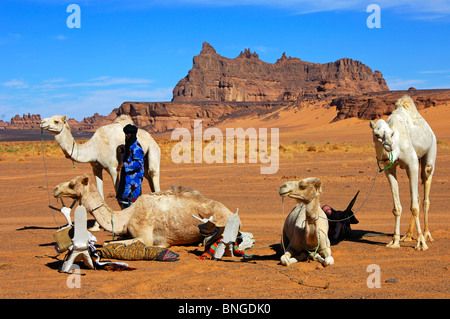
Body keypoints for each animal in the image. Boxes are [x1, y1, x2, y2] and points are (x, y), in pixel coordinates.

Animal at [52, 175, 234, 248]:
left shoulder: (145, 236)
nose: (55, 189)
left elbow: (106, 244)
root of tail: (231, 212)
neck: (126, 217)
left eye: (72, 184)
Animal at [370, 96, 436, 251]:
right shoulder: (389, 168)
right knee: (417, 197)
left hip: (430, 152)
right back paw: (408, 235)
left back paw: (426, 235)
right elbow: (397, 207)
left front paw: (421, 243)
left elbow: (414, 207)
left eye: (391, 134)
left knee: (425, 196)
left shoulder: (412, 164)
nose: (389, 145)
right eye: (376, 134)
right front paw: (395, 241)